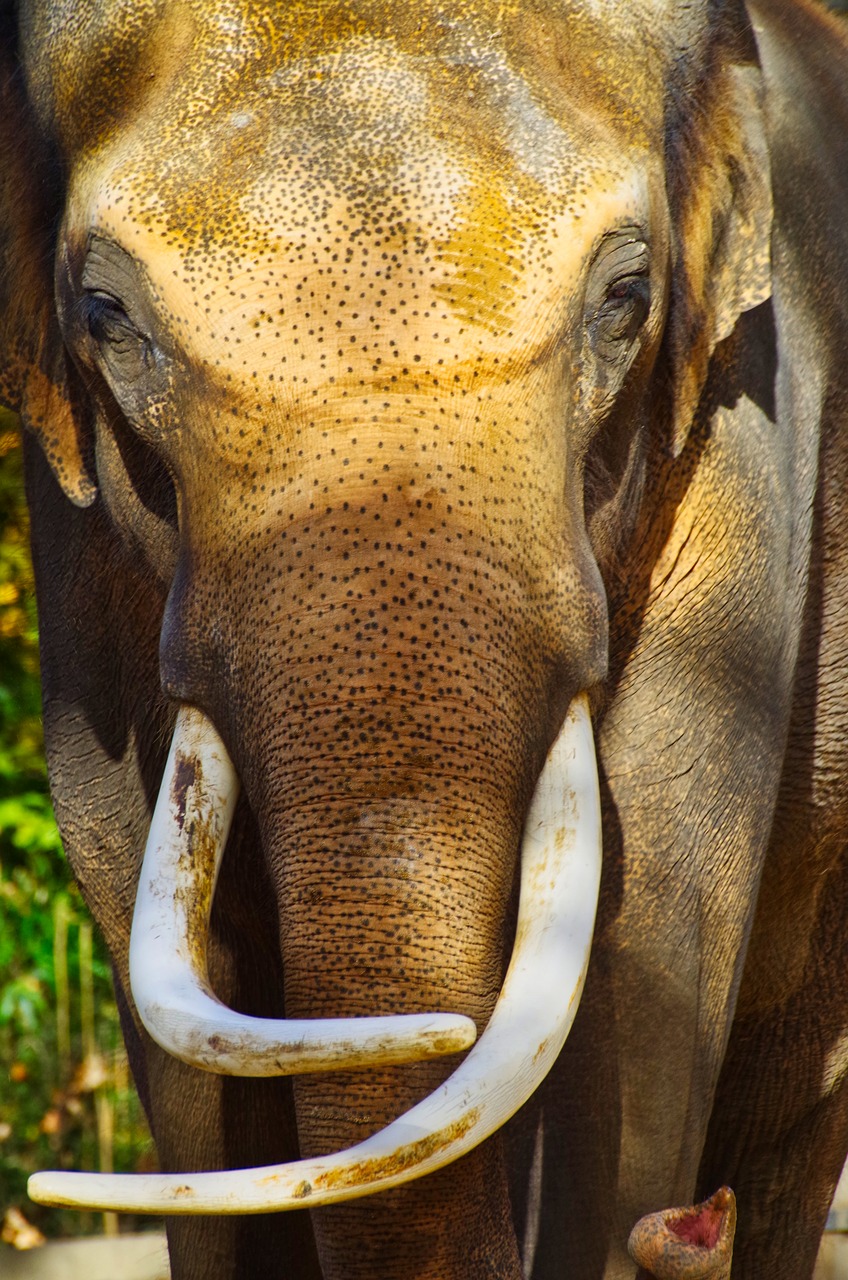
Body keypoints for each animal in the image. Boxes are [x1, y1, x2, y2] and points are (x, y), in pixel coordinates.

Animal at [1, 0, 848, 1274]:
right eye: (107, 316)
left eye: (624, 295)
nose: (682, 1227)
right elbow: (136, 892)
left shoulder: (750, 408)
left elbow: (651, 922)